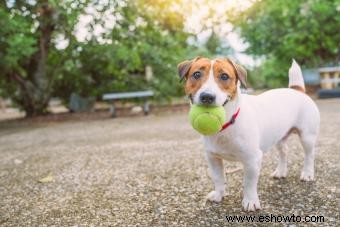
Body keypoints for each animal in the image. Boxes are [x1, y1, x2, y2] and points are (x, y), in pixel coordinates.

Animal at [177, 56, 320, 211]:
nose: (207, 97)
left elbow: (249, 183)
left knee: (309, 155)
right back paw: (280, 172)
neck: (227, 124)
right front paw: (218, 195)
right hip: (279, 137)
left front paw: (250, 201)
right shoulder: (213, 158)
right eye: (196, 74)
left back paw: (307, 174)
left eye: (224, 76)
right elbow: (218, 178)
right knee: (284, 152)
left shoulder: (252, 159)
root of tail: (297, 90)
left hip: (307, 136)